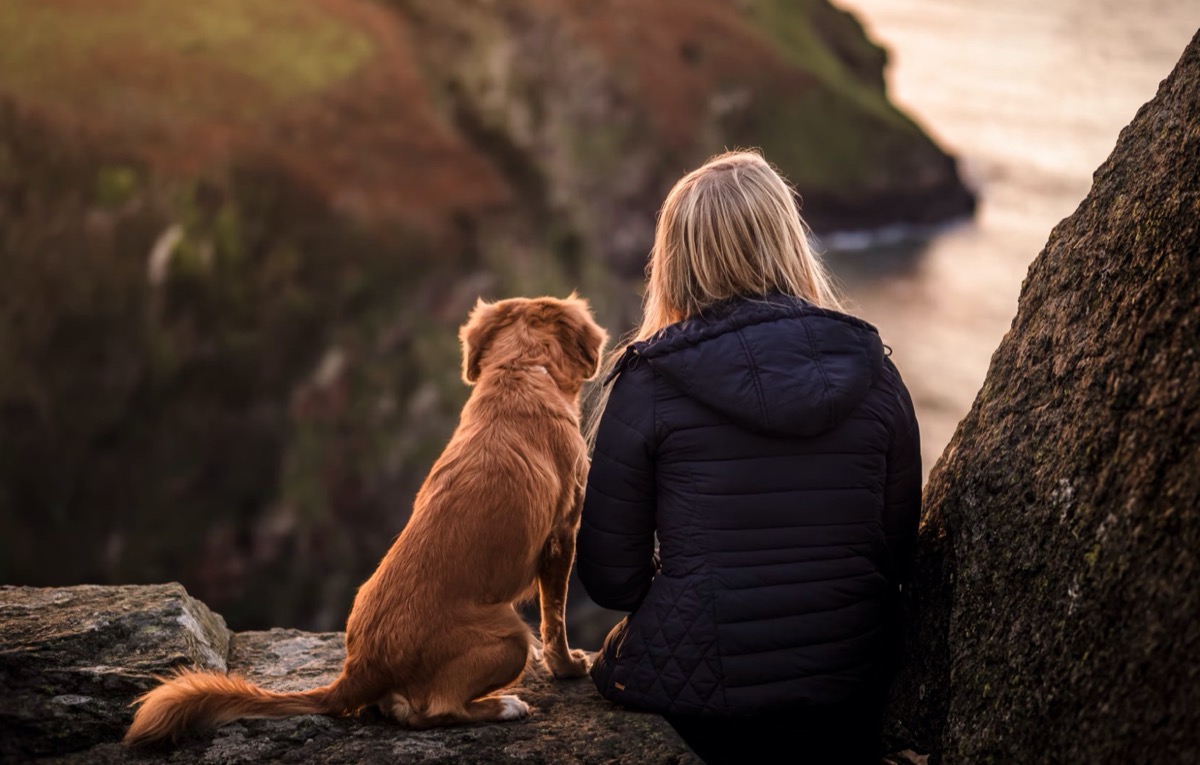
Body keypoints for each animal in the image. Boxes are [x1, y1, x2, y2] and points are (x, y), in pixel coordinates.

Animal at [125, 292, 604, 743]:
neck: (520, 370)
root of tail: (360, 667)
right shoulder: (563, 534)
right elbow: (556, 617)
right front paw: (568, 667)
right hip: (510, 634)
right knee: (435, 709)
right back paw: (503, 705)